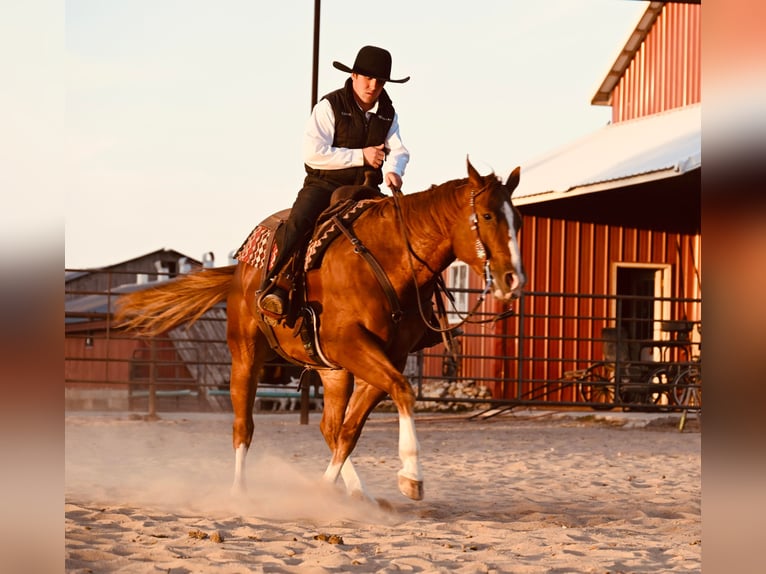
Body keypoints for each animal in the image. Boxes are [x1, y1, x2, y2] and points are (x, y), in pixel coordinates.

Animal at [115, 159, 528, 504]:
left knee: (329, 428)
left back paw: (358, 494)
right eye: (487, 215)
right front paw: (412, 476)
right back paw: (239, 492)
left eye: (519, 221)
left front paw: (330, 490)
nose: (514, 280)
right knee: (243, 426)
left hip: (332, 372)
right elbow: (403, 392)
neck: (387, 260)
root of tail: (241, 269)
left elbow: (350, 429)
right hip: (246, 354)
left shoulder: (382, 357)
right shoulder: (351, 344)